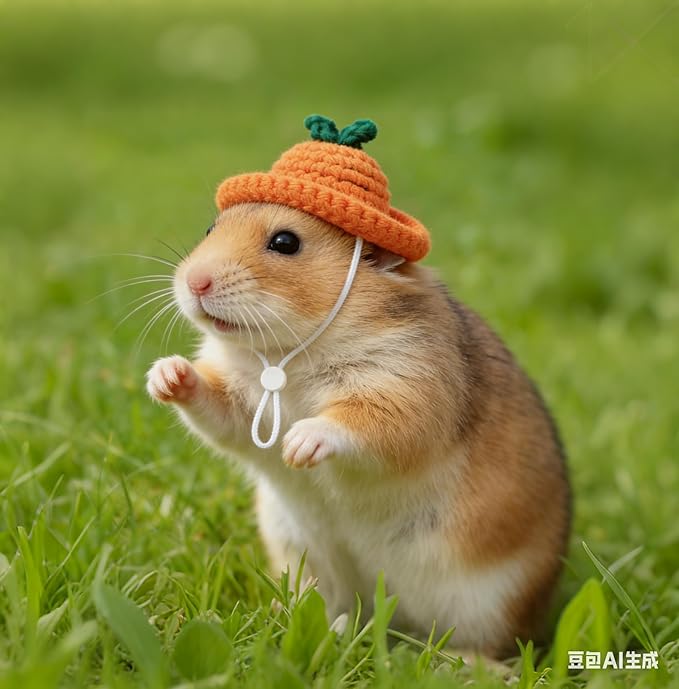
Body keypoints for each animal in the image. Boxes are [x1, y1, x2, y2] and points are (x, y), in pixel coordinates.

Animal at [145, 201, 571, 657]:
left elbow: (357, 423)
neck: (290, 351)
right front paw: (165, 376)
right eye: (211, 228)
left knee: (496, 646)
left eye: (285, 242)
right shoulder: (241, 407)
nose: (194, 282)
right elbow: (214, 406)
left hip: (490, 601)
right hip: (304, 557)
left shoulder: (406, 390)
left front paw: (297, 448)